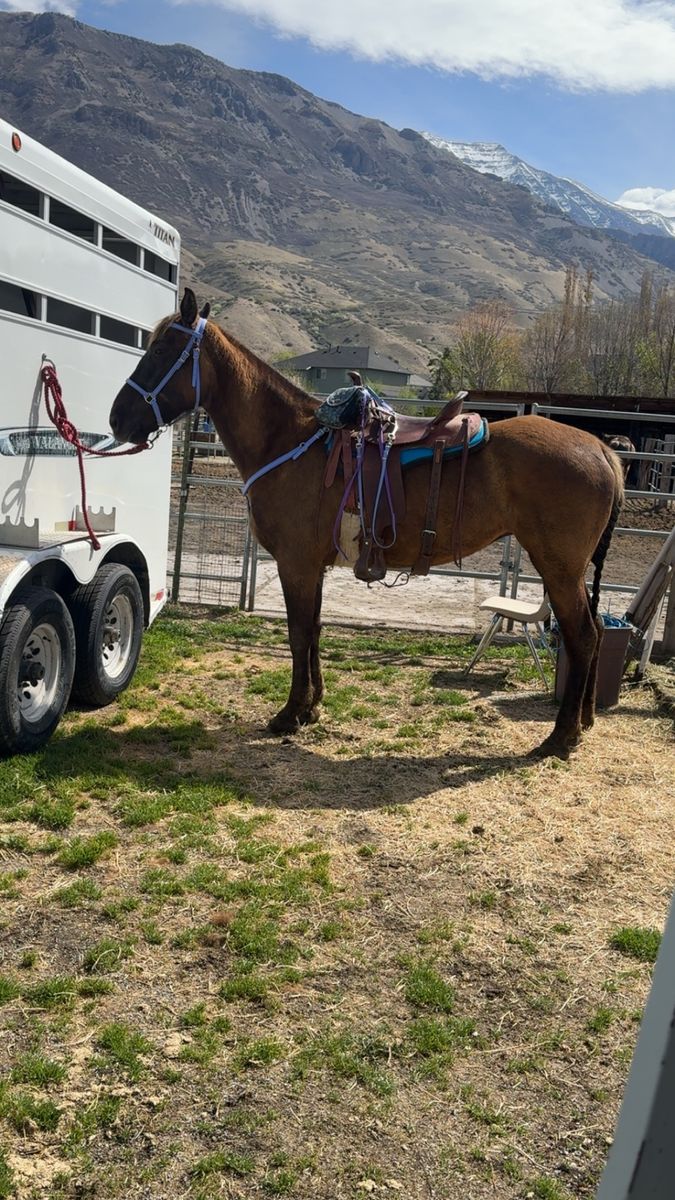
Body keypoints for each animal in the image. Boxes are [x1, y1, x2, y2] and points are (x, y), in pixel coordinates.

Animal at [110, 289, 624, 759]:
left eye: (161, 351)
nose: (117, 419)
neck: (289, 440)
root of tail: (603, 450)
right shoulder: (312, 567)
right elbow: (314, 631)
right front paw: (312, 707)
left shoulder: (296, 565)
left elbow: (299, 634)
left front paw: (289, 714)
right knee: (596, 633)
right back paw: (582, 722)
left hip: (559, 569)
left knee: (582, 636)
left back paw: (561, 736)